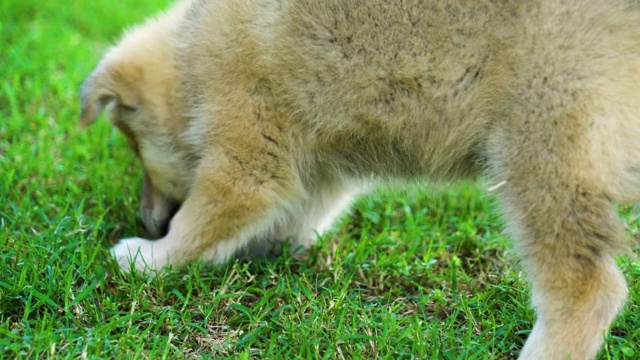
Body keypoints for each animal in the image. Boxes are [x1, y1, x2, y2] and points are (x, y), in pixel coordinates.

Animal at [81, 1, 640, 358]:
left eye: (135, 148)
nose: (147, 221)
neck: (191, 55)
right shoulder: (317, 159)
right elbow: (299, 209)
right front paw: (268, 249)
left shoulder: (247, 155)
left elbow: (204, 219)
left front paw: (151, 259)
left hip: (543, 151)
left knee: (588, 289)